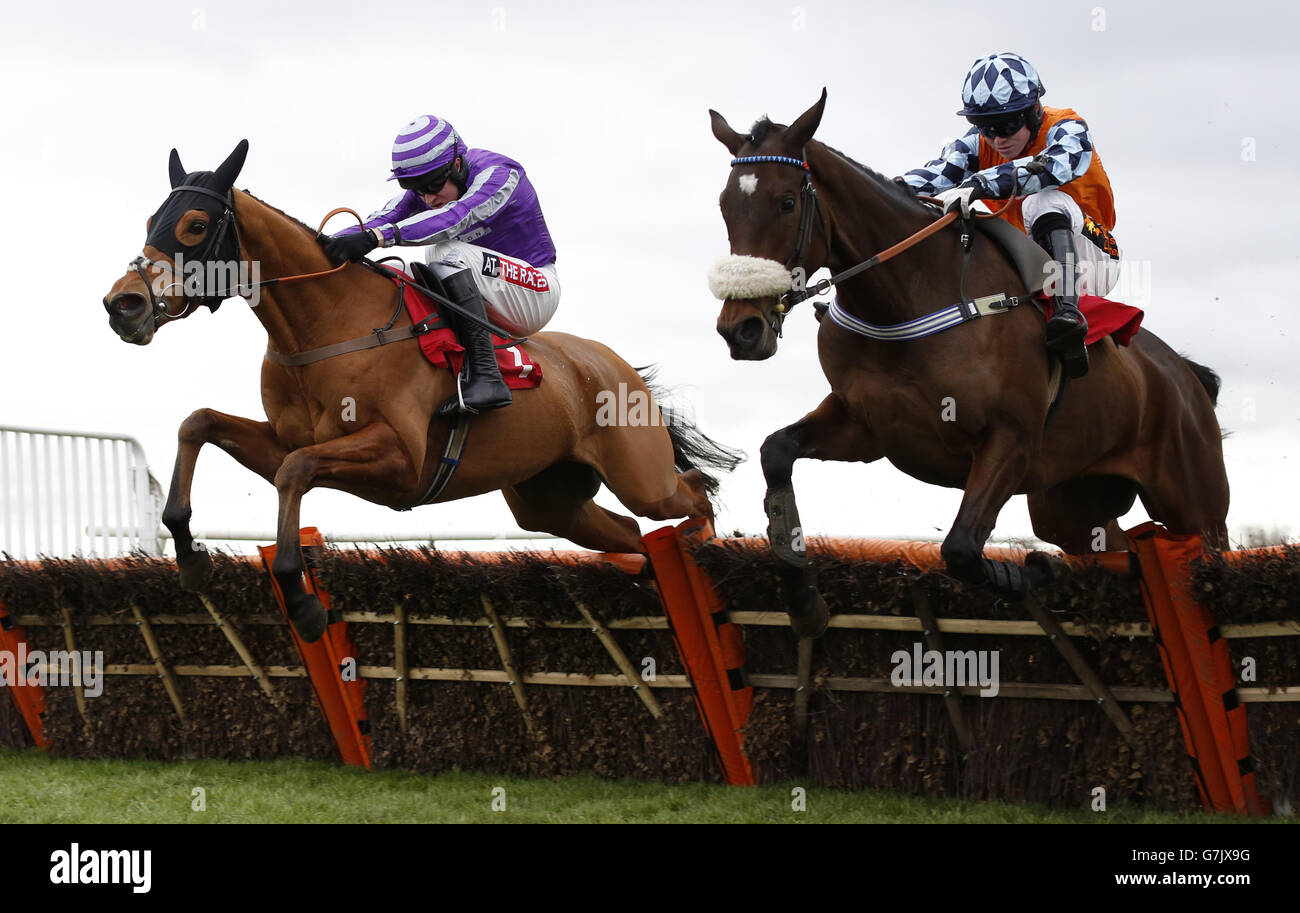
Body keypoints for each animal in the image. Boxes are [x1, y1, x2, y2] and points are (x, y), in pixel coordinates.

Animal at [102, 143, 743, 645]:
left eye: (196, 225)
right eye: (151, 220)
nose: (122, 304)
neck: (328, 324)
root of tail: (616, 366)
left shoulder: (400, 459)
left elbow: (296, 470)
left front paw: (302, 602)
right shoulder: (282, 438)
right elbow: (201, 423)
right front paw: (190, 557)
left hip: (641, 475)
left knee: (691, 494)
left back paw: (708, 559)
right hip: (550, 501)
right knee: (634, 537)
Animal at [712, 91, 1227, 637]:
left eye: (787, 202)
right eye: (725, 205)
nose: (740, 329)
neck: (907, 298)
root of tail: (1184, 374)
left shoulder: (1009, 440)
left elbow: (960, 549)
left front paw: (1032, 570)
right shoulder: (867, 427)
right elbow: (776, 452)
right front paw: (803, 600)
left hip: (1196, 504)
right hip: (1070, 503)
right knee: (1116, 545)